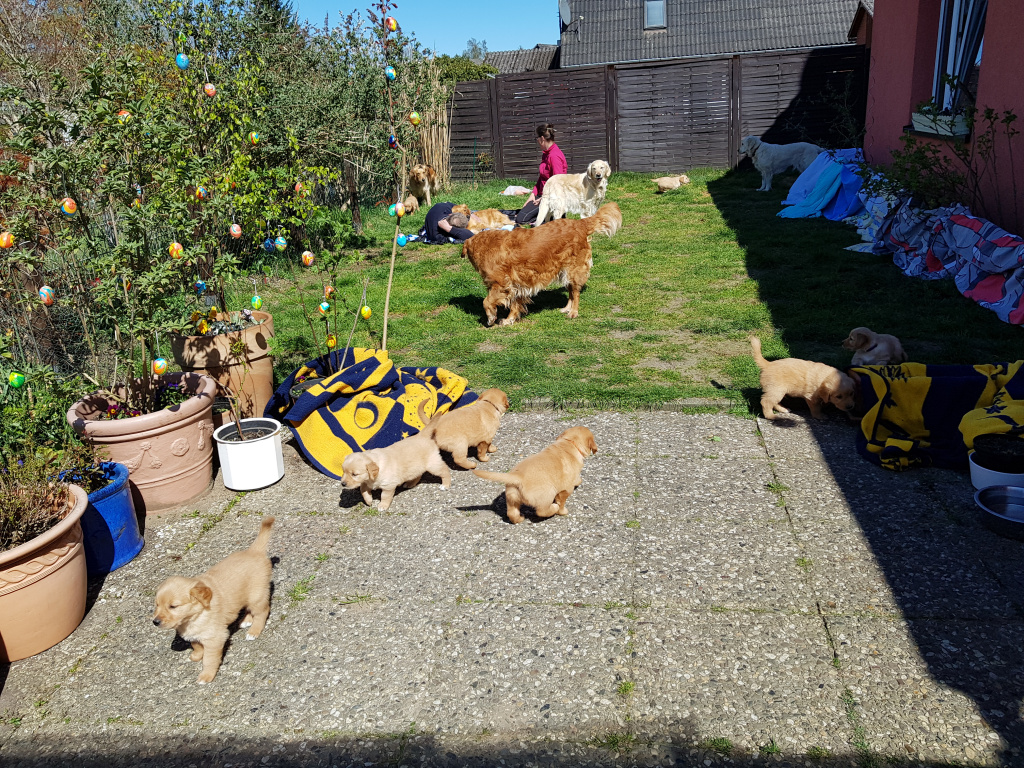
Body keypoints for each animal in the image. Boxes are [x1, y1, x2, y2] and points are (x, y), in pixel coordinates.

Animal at [152, 516, 274, 684]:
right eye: (157, 605)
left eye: (173, 606)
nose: (155, 622)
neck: (194, 617)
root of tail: (254, 550)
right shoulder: (196, 634)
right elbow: (196, 645)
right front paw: (196, 655)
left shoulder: (215, 638)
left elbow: (209, 659)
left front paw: (206, 675)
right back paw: (246, 621)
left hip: (257, 596)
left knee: (262, 612)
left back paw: (254, 631)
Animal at [462, 202, 621, 327]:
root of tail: (579, 223)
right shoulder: (516, 284)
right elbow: (514, 305)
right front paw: (509, 320)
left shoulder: (501, 283)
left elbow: (486, 301)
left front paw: (491, 318)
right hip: (564, 271)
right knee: (570, 292)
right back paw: (566, 308)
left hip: (574, 270)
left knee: (575, 292)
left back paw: (573, 312)